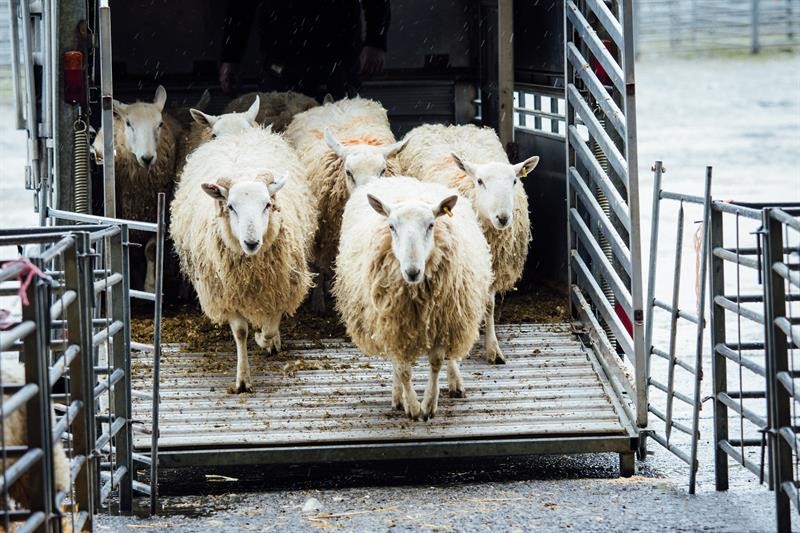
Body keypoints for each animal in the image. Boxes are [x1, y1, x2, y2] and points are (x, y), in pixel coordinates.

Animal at [170, 124, 318, 390]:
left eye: (267, 204)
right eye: (230, 206)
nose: (251, 242)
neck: (251, 266)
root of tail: (239, 133)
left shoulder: (279, 287)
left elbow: (269, 328)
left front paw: (265, 341)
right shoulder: (228, 292)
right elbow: (240, 332)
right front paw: (242, 379)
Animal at [332, 178, 494, 420]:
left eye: (431, 225)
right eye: (391, 226)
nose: (412, 271)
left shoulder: (442, 321)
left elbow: (436, 363)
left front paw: (429, 404)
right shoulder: (394, 326)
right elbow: (403, 370)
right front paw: (412, 406)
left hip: (456, 315)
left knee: (452, 354)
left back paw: (455, 382)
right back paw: (397, 397)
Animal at [398, 123, 540, 364]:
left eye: (514, 180)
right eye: (480, 181)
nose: (503, 217)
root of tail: (446, 126)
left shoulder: (493, 267)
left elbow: (489, 305)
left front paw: (492, 348)